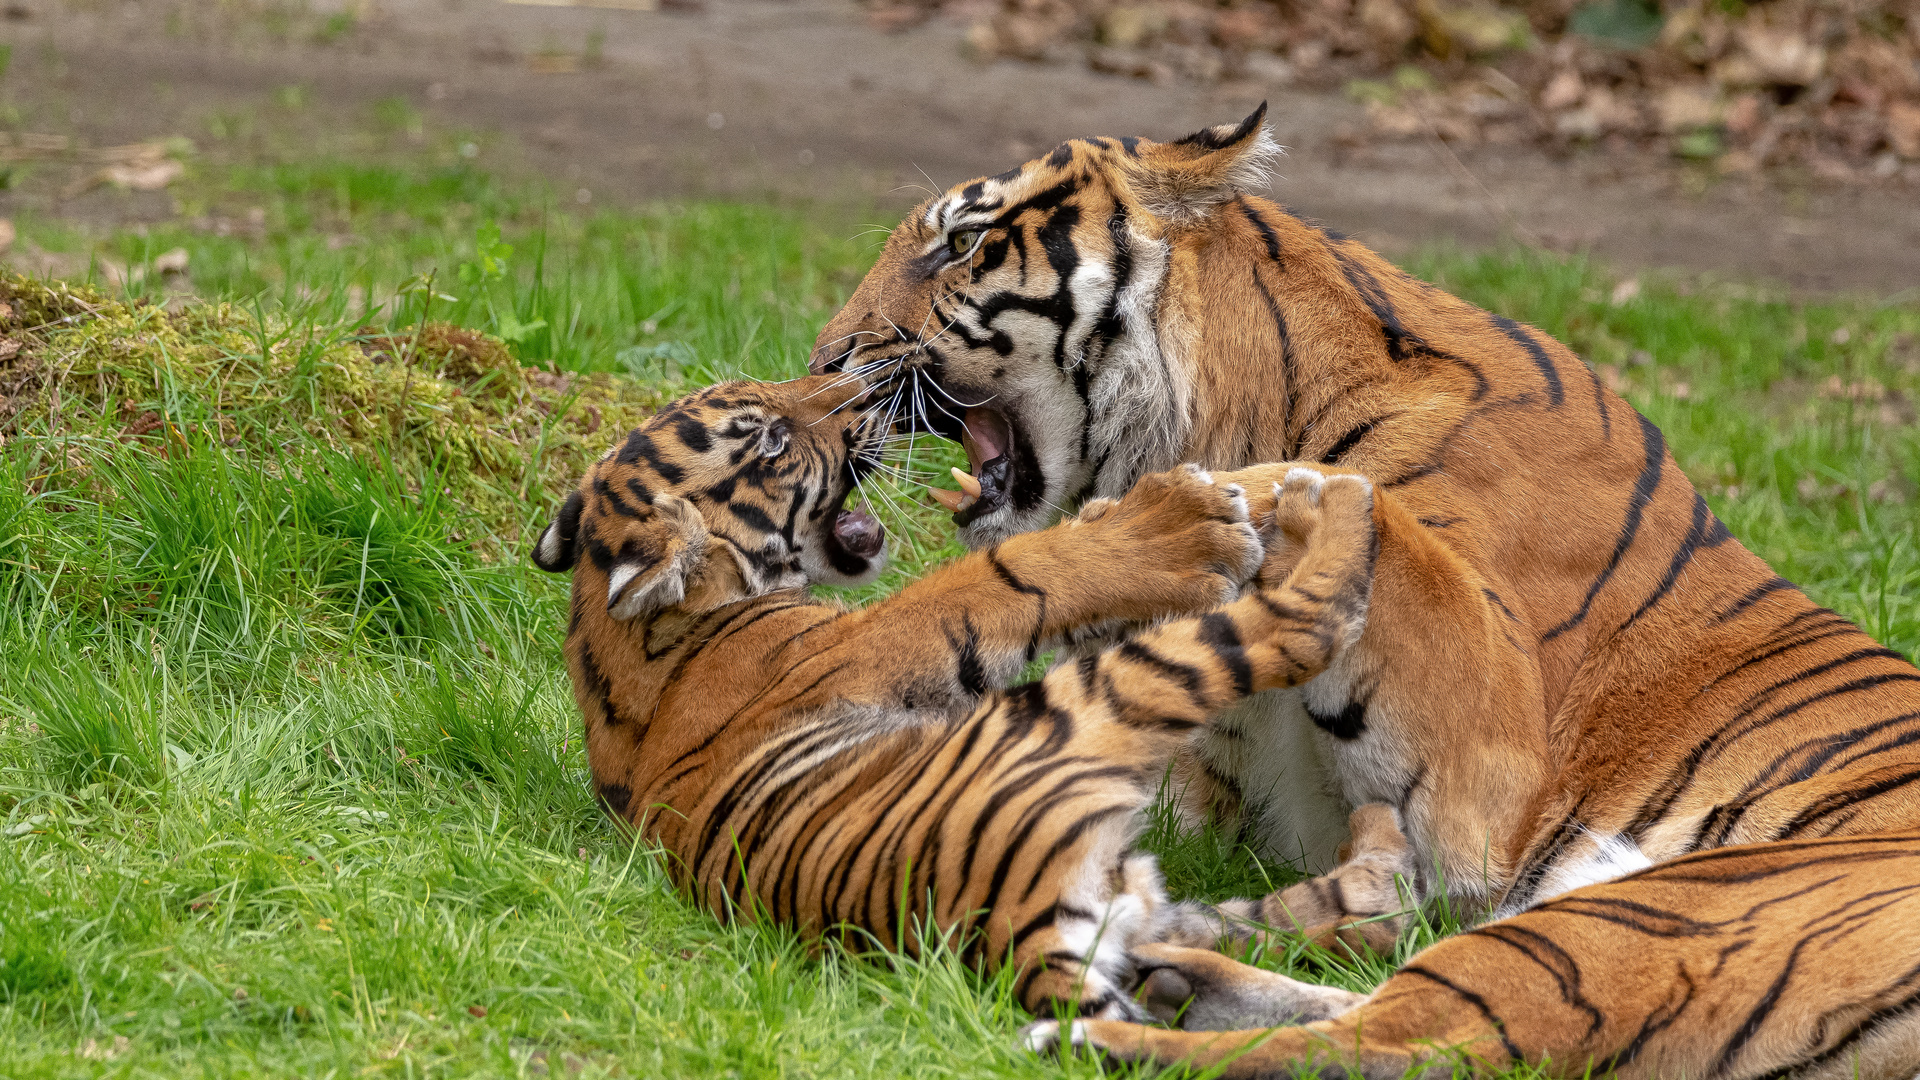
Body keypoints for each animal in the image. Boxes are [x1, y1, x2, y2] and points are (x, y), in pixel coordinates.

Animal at [533, 372, 1420, 1014]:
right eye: (774, 439)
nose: (858, 384)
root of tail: (1011, 934)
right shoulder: (865, 649)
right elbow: (999, 576)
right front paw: (1177, 521)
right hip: (1091, 708)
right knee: (1299, 627)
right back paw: (1337, 500)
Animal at [810, 105, 1920, 1068]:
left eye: (963, 244)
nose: (824, 361)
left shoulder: (1487, 781)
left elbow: (1352, 500)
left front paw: (1217, 501)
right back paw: (1171, 965)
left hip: (1664, 909)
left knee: (1381, 1049)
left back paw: (1104, 1025)